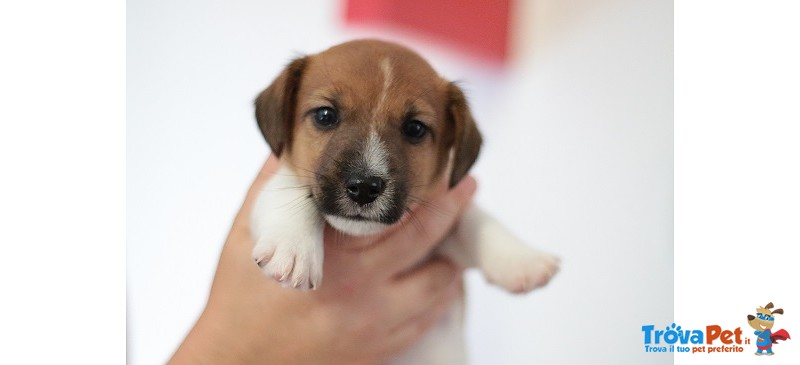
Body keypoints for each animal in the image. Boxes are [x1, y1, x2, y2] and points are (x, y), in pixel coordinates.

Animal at [253, 39, 560, 362]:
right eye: (325, 116)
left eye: (415, 128)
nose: (365, 187)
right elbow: (287, 186)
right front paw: (293, 247)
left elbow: (472, 217)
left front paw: (520, 259)